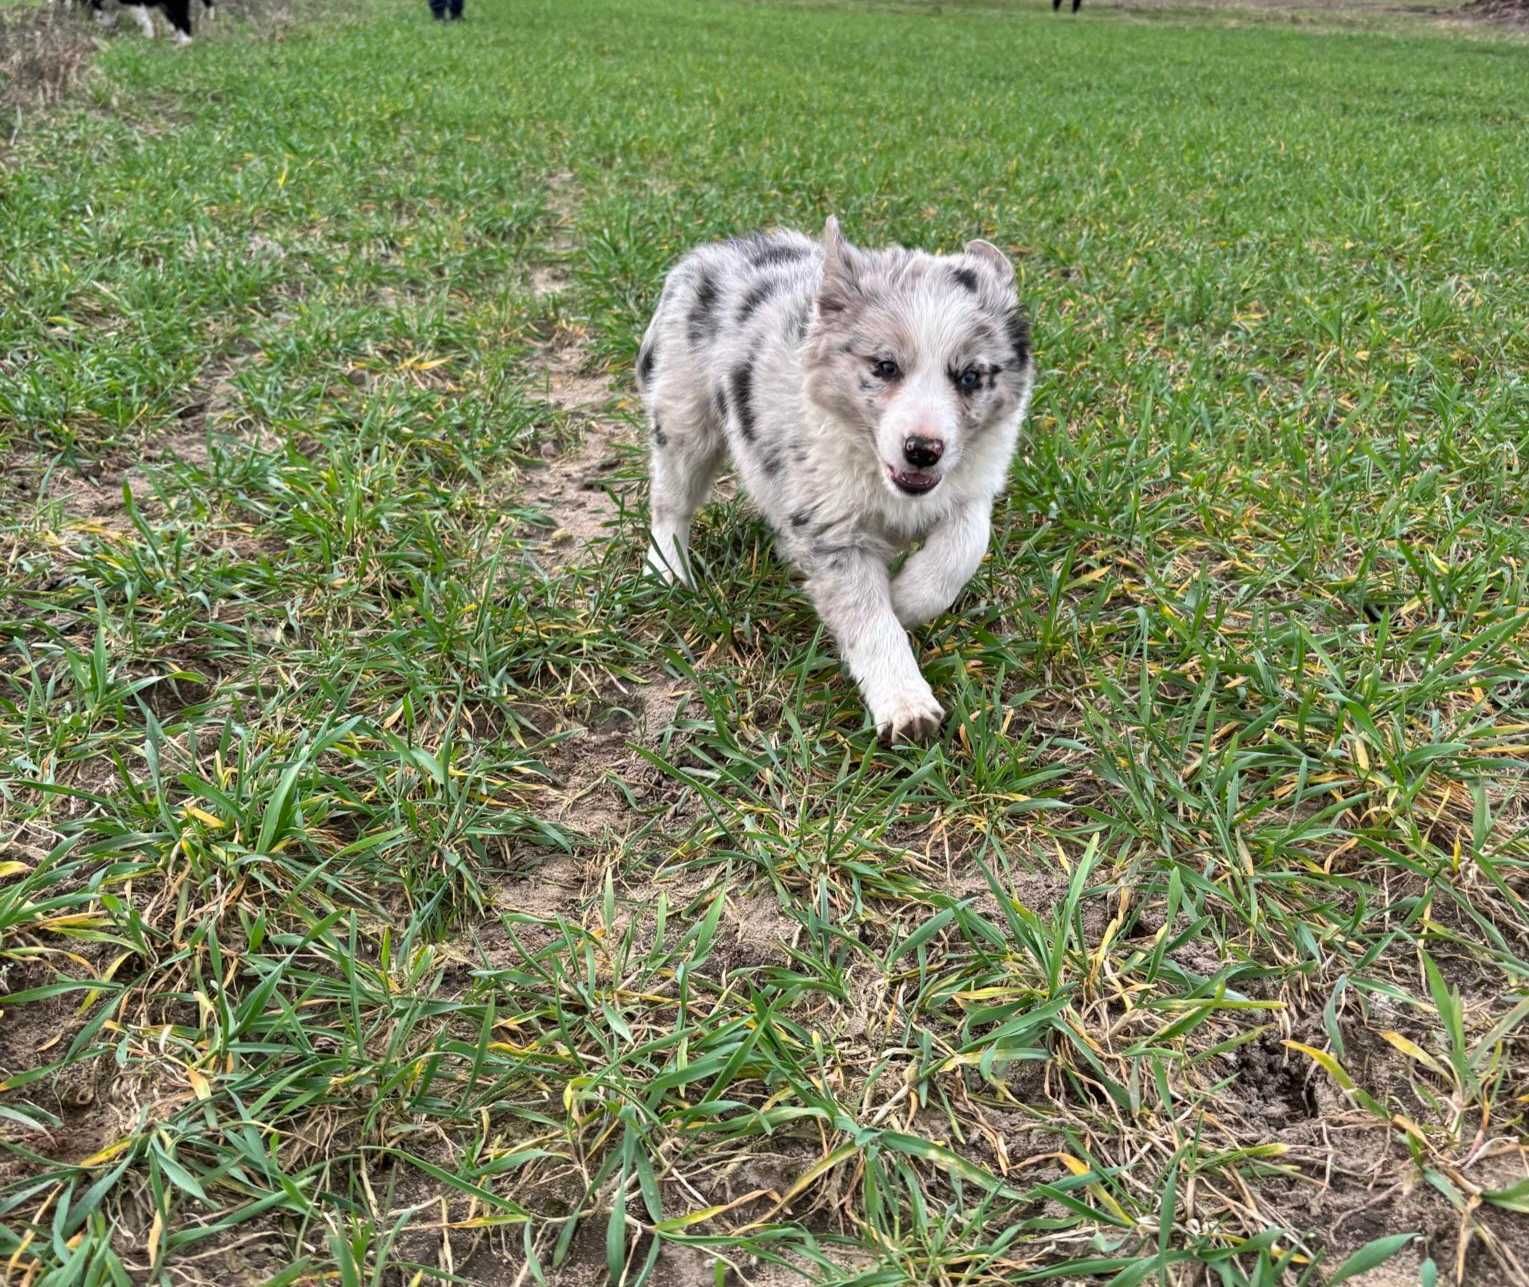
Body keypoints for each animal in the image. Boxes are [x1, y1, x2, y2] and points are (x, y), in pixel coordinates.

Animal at [626, 220, 1033, 742]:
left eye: (969, 377)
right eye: (885, 367)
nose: (923, 451)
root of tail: (709, 253)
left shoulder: (971, 484)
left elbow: (963, 545)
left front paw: (907, 598)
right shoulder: (832, 529)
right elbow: (868, 618)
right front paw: (905, 703)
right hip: (683, 415)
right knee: (671, 503)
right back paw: (667, 571)